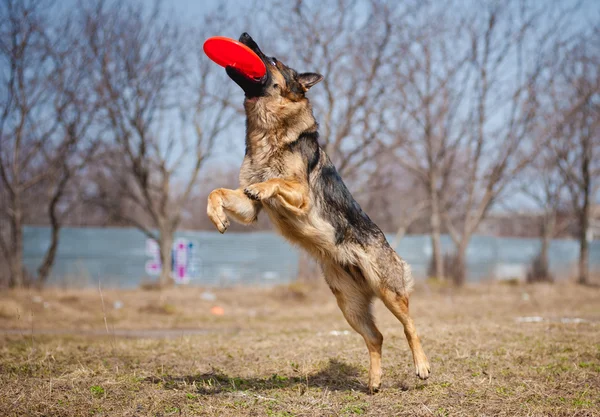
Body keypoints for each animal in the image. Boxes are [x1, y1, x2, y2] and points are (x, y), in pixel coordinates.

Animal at [209, 33, 428, 394]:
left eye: (273, 60)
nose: (243, 35)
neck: (268, 131)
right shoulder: (249, 208)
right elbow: (217, 192)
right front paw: (218, 217)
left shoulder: (300, 196)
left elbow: (275, 182)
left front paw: (265, 187)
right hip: (348, 305)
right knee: (377, 337)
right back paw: (374, 382)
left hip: (388, 291)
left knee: (410, 325)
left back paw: (422, 367)